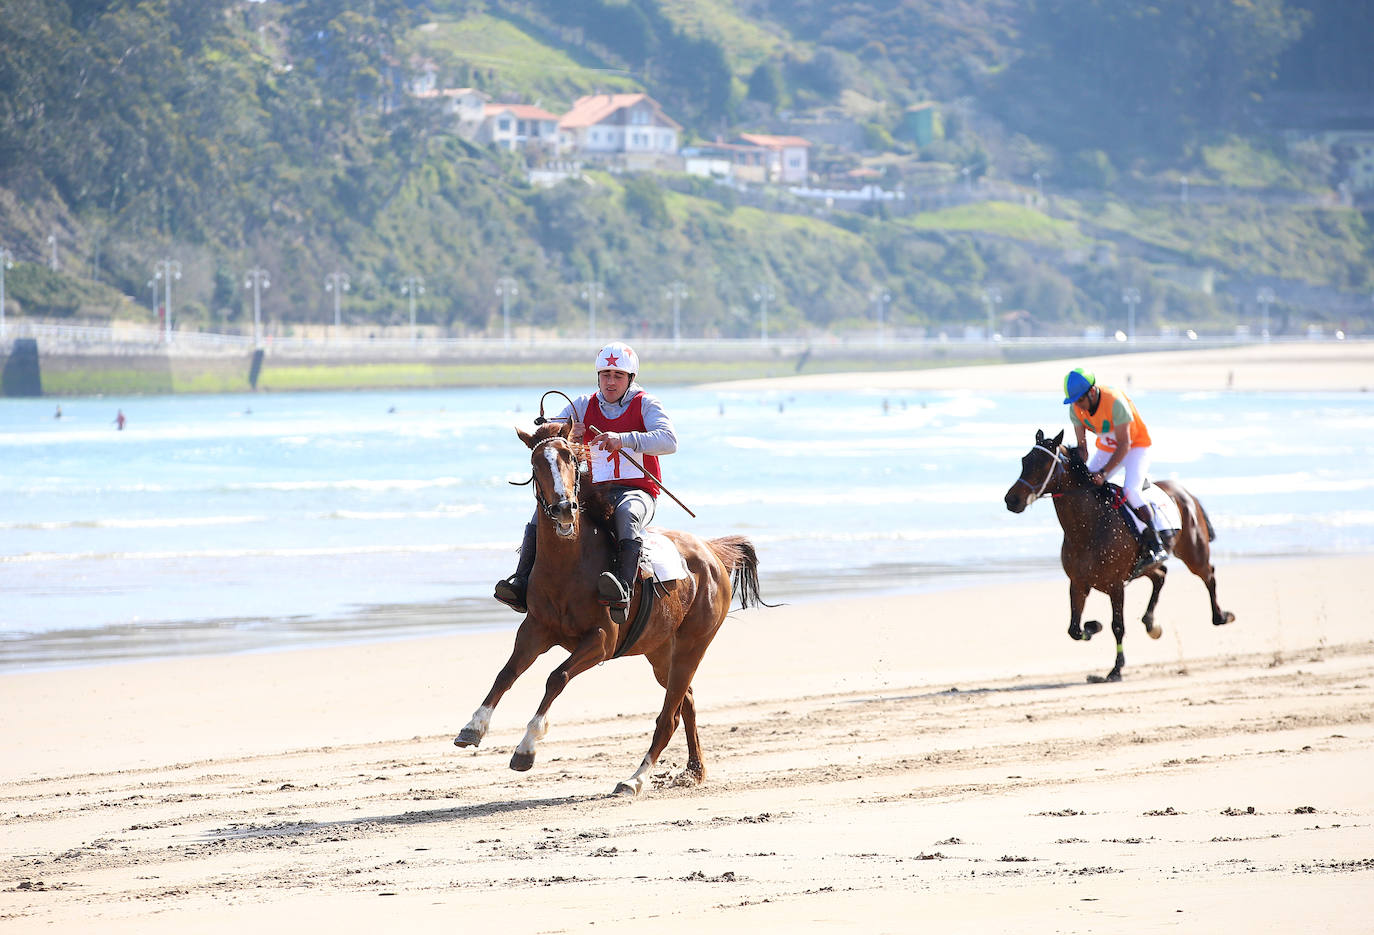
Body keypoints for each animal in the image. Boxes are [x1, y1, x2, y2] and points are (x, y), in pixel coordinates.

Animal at [456, 420, 769, 797]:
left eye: (571, 458)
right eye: (535, 464)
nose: (565, 508)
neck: (569, 566)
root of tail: (710, 551)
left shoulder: (601, 642)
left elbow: (556, 676)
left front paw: (526, 748)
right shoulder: (535, 630)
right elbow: (506, 673)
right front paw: (473, 726)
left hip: (692, 646)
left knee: (669, 717)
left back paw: (635, 779)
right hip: (660, 652)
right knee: (687, 702)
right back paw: (694, 771)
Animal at [1000, 426, 1236, 682]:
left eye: (1043, 464)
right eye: (1025, 460)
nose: (1012, 499)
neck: (1087, 528)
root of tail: (1184, 492)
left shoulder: (1115, 585)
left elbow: (1117, 626)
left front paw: (1116, 669)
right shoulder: (1078, 583)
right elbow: (1074, 629)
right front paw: (1093, 626)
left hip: (1194, 552)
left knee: (1208, 574)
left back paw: (1221, 616)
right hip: (1145, 566)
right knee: (1161, 574)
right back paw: (1151, 624)